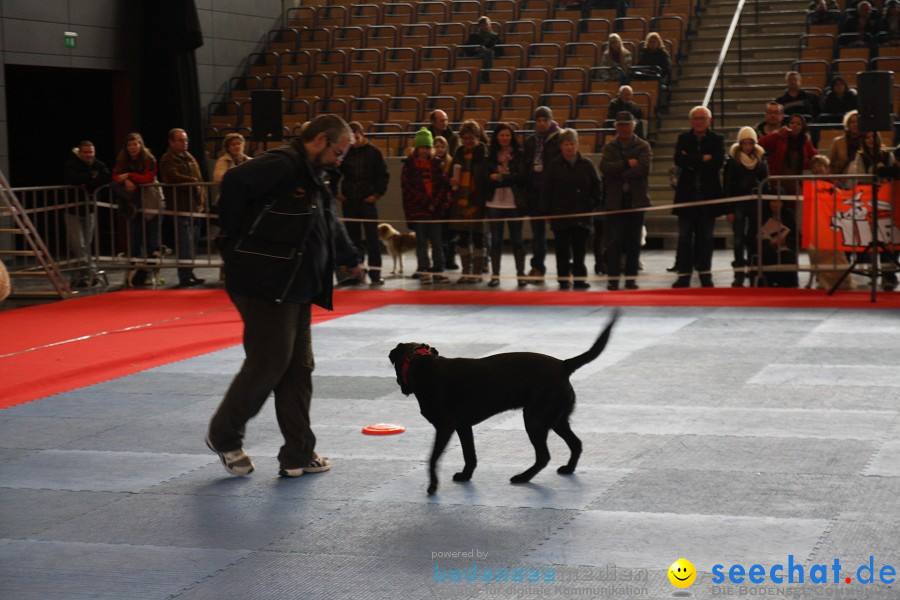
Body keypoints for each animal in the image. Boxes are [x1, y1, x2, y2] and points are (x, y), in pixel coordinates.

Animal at [386, 310, 620, 492]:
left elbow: (433, 458)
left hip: (535, 420)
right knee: (576, 443)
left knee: (544, 456)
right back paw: (568, 469)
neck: (421, 365)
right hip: (556, 419)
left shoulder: (445, 427)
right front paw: (465, 475)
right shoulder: (463, 426)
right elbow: (469, 454)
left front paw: (433, 486)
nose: (400, 386)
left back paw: (522, 477)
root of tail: (563, 365)